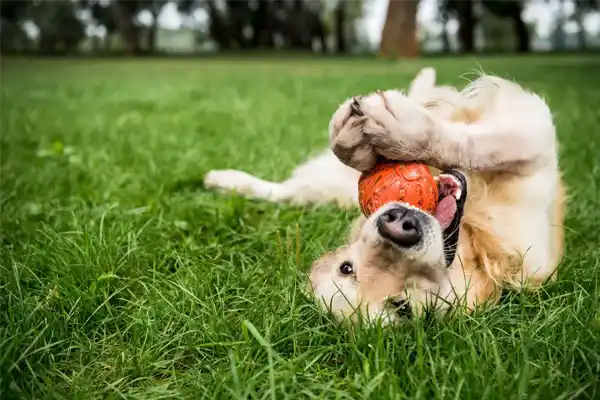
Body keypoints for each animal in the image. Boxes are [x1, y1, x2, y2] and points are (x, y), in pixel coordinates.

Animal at [204, 68, 564, 324]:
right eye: (348, 268)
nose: (398, 226)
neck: (472, 239)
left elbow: (475, 143)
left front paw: (394, 133)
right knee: (287, 192)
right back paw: (225, 180)